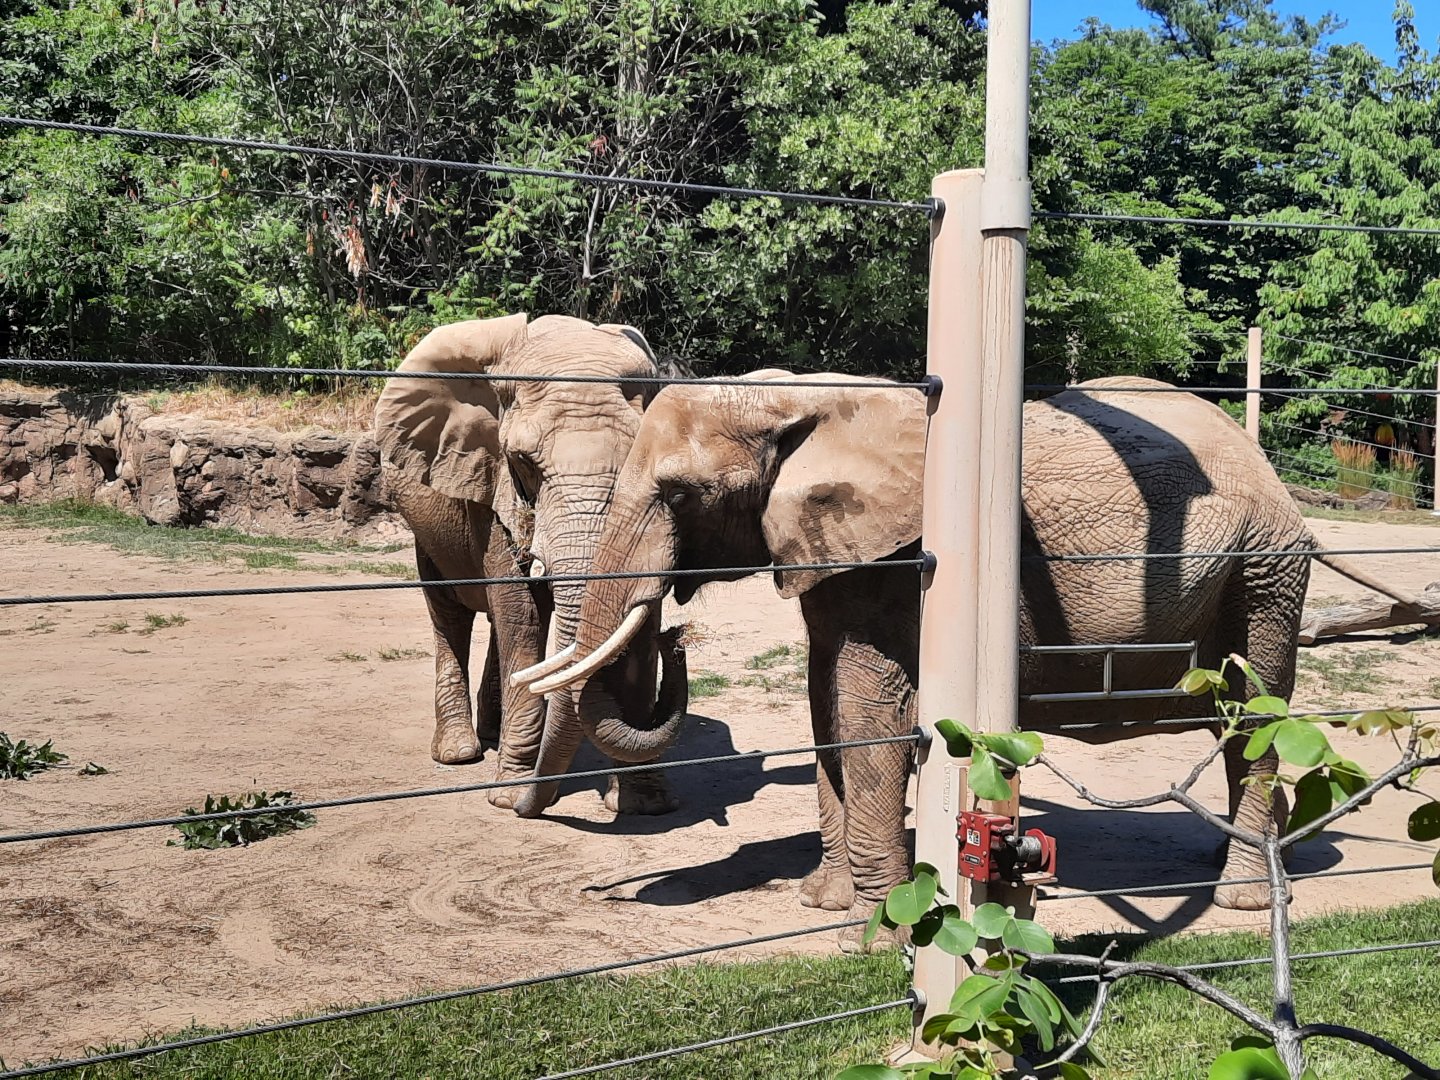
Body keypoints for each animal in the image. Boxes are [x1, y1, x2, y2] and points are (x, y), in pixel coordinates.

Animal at [373, 313, 688, 817]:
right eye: (523, 463)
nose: (677, 643)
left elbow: (637, 616)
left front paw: (646, 804)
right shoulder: (488, 483)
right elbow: (519, 612)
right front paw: (507, 797)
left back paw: (492, 732)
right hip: (426, 525)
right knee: (452, 612)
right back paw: (460, 752)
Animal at [514, 372, 1416, 937]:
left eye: (679, 494)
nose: (675, 634)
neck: (803, 397)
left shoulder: (895, 559)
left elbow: (868, 712)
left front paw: (874, 933)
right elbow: (824, 704)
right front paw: (822, 903)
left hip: (1265, 571)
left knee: (1254, 717)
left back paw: (1240, 899)